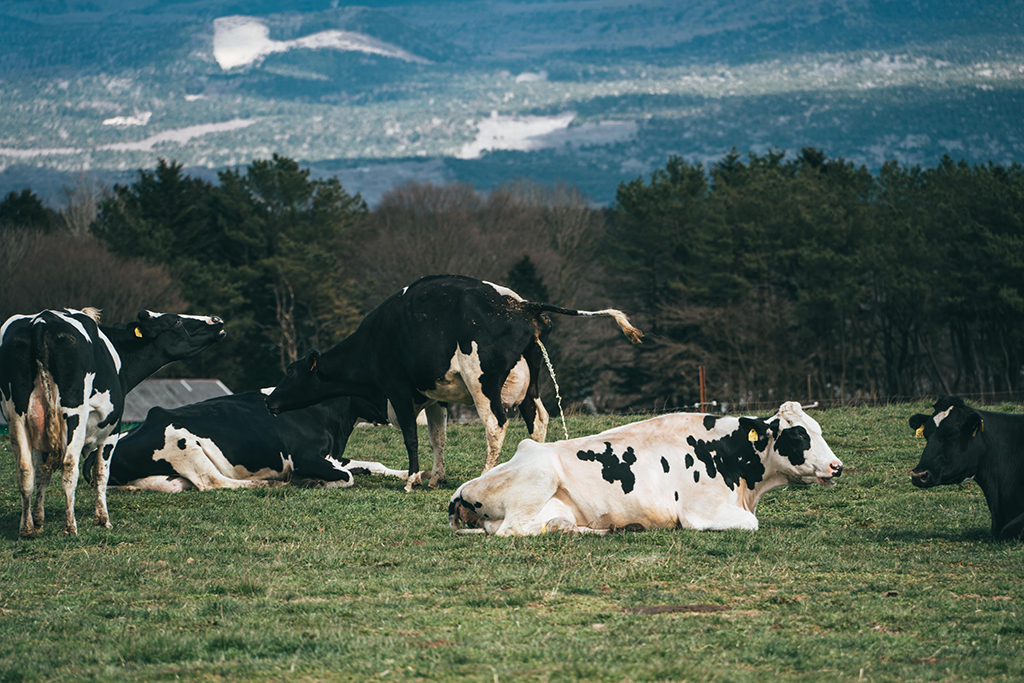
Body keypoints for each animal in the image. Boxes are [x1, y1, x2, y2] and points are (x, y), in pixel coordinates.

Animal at [0, 309, 224, 540]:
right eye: (177, 321)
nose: (216, 319)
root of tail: (42, 320)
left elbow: (42, 472)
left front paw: (38, 521)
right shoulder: (112, 430)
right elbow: (101, 472)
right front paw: (102, 520)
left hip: (17, 416)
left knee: (25, 469)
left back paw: (26, 529)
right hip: (73, 415)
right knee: (69, 465)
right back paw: (70, 527)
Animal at [83, 389, 405, 491]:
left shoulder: (333, 455)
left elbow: (373, 465)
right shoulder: (306, 458)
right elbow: (348, 476)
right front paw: (311, 482)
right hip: (183, 443)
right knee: (214, 481)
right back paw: (267, 484)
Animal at [264, 274, 638, 491]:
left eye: (290, 372)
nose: (269, 401)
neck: (374, 340)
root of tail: (521, 305)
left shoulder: (398, 390)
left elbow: (412, 438)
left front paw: (412, 480)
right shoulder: (434, 397)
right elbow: (437, 438)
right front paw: (435, 477)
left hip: (482, 382)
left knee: (495, 424)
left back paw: (484, 475)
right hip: (531, 385)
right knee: (539, 419)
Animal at [448, 401, 839, 540]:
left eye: (817, 428)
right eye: (798, 434)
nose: (837, 466)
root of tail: (463, 489)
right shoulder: (701, 512)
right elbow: (751, 524)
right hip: (539, 477)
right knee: (513, 530)